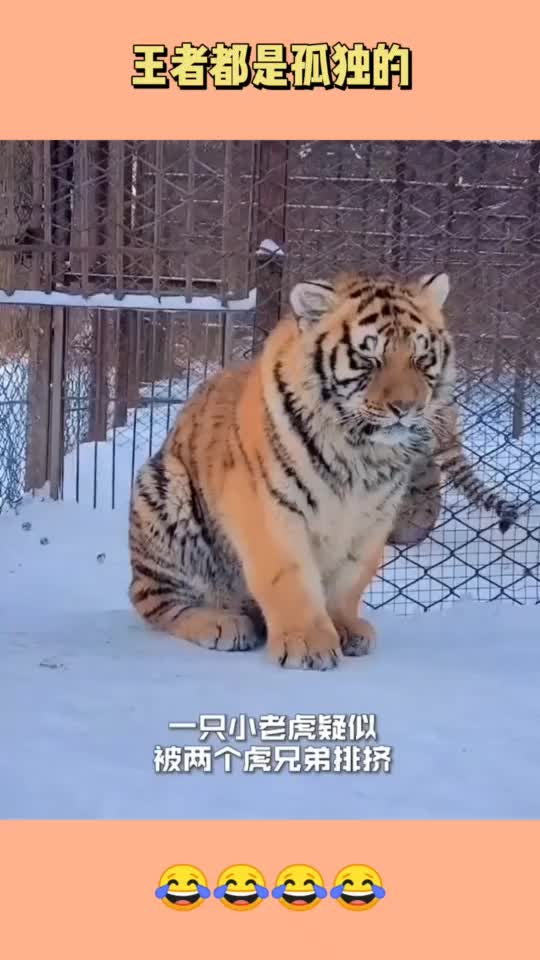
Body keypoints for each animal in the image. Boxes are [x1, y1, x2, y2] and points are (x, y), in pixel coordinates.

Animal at [128, 269, 508, 671]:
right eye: (369, 357)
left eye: (421, 357)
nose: (406, 407)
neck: (362, 452)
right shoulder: (271, 509)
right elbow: (288, 577)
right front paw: (307, 645)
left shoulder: (372, 518)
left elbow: (350, 580)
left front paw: (345, 628)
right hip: (164, 489)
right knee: (155, 600)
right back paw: (223, 623)